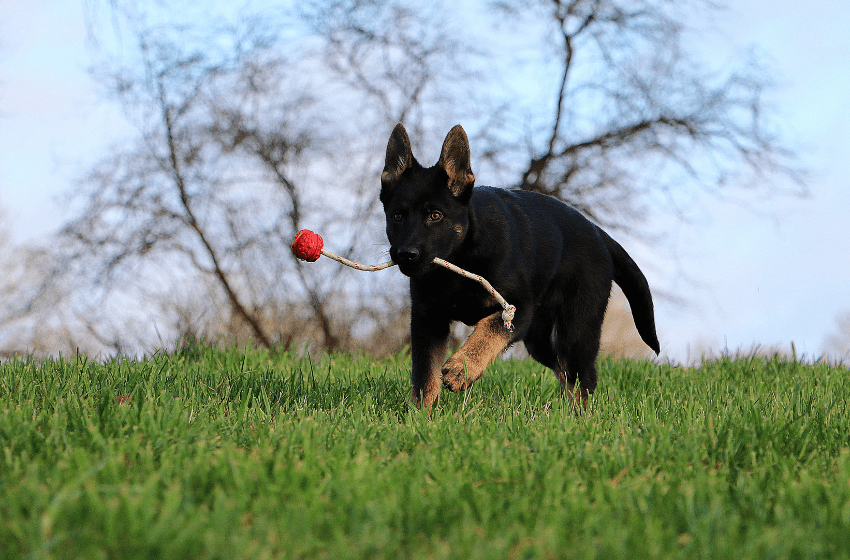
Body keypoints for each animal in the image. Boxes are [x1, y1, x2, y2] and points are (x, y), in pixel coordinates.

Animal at [380, 123, 660, 412]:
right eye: (397, 216)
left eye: (435, 216)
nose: (406, 255)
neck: (462, 259)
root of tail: (597, 231)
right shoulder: (428, 319)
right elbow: (425, 374)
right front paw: (420, 414)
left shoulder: (518, 309)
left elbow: (489, 329)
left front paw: (462, 369)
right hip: (538, 337)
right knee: (563, 370)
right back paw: (563, 412)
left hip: (576, 328)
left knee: (583, 376)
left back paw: (579, 415)